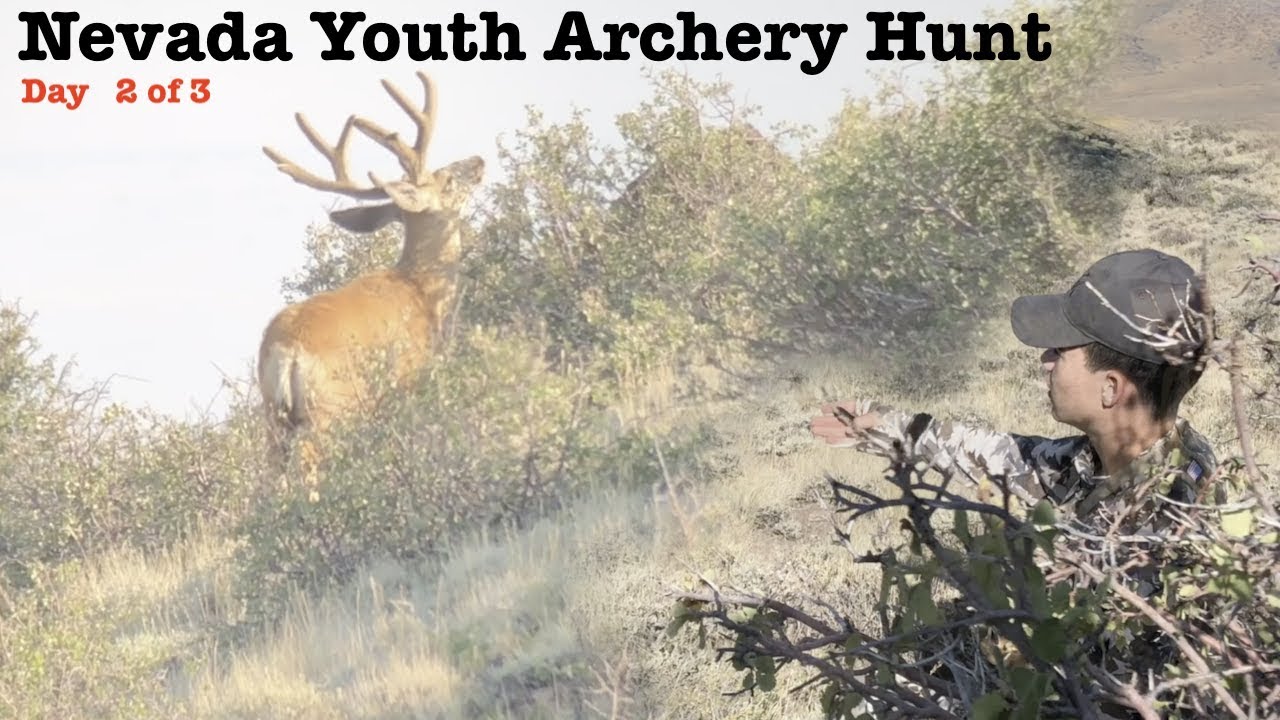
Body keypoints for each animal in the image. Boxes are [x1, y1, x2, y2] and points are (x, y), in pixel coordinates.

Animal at [256, 71, 484, 483]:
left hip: (273, 417)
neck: (422, 292)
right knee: (309, 471)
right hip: (329, 407)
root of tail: (287, 347)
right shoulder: (410, 379)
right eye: (446, 181)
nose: (479, 161)